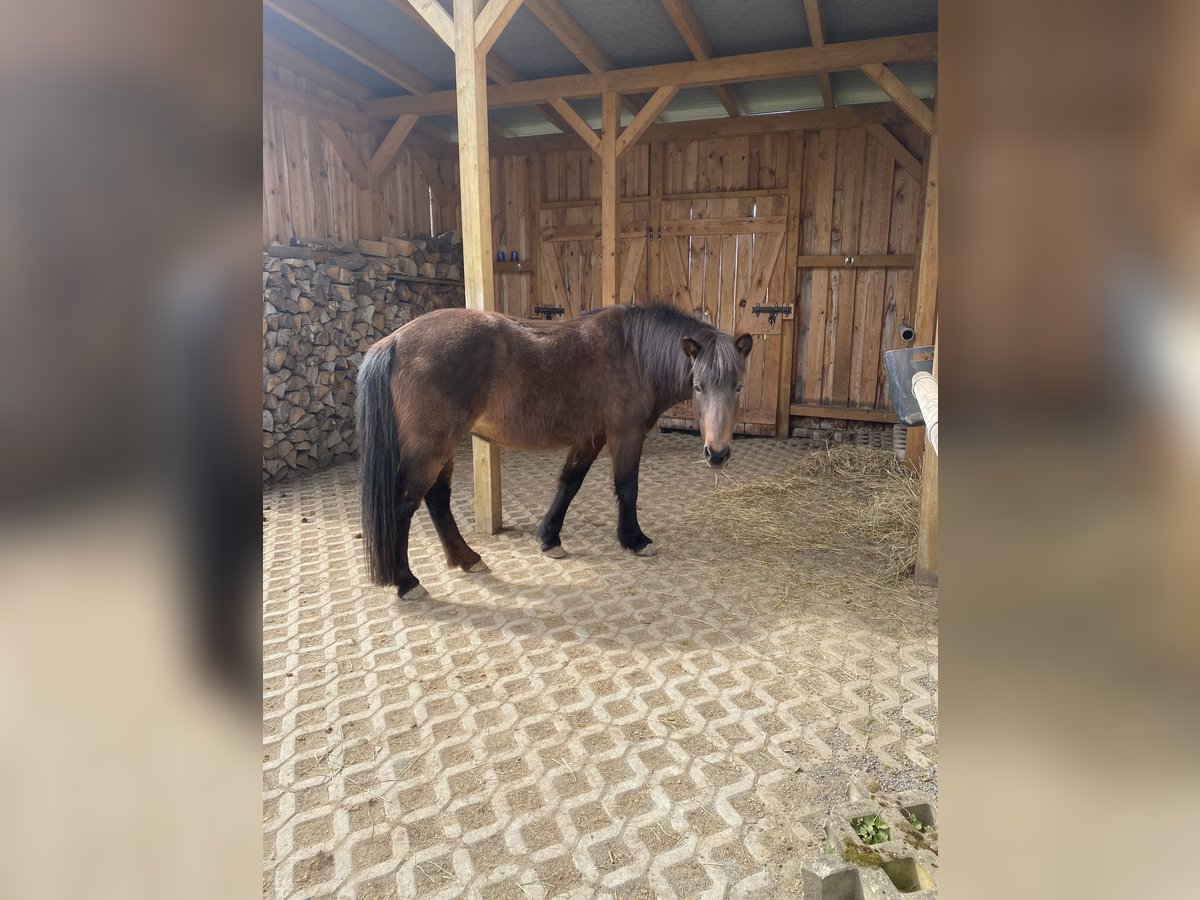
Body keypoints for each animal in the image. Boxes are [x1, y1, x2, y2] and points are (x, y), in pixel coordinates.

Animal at [355, 302, 753, 600]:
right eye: (699, 386)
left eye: (738, 386)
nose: (717, 454)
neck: (634, 353)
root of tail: (393, 342)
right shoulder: (625, 434)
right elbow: (627, 488)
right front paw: (635, 539)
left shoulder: (590, 437)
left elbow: (568, 484)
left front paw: (549, 539)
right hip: (432, 447)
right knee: (404, 503)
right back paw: (407, 581)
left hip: (444, 446)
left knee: (437, 499)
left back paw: (466, 558)